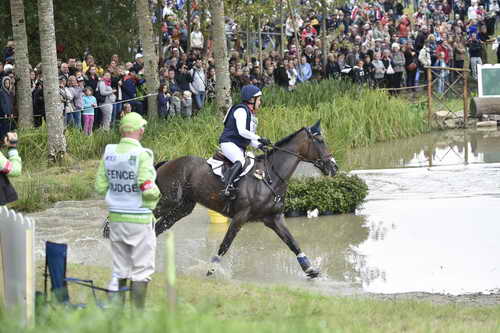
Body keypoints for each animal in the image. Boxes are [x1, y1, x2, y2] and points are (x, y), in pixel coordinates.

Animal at [154, 120, 338, 278]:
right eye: (320, 141)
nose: (334, 167)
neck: (271, 176)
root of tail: (165, 164)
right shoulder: (240, 216)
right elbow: (225, 245)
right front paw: (211, 270)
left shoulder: (273, 218)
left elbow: (293, 242)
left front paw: (310, 269)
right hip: (170, 201)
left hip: (182, 208)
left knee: (159, 226)